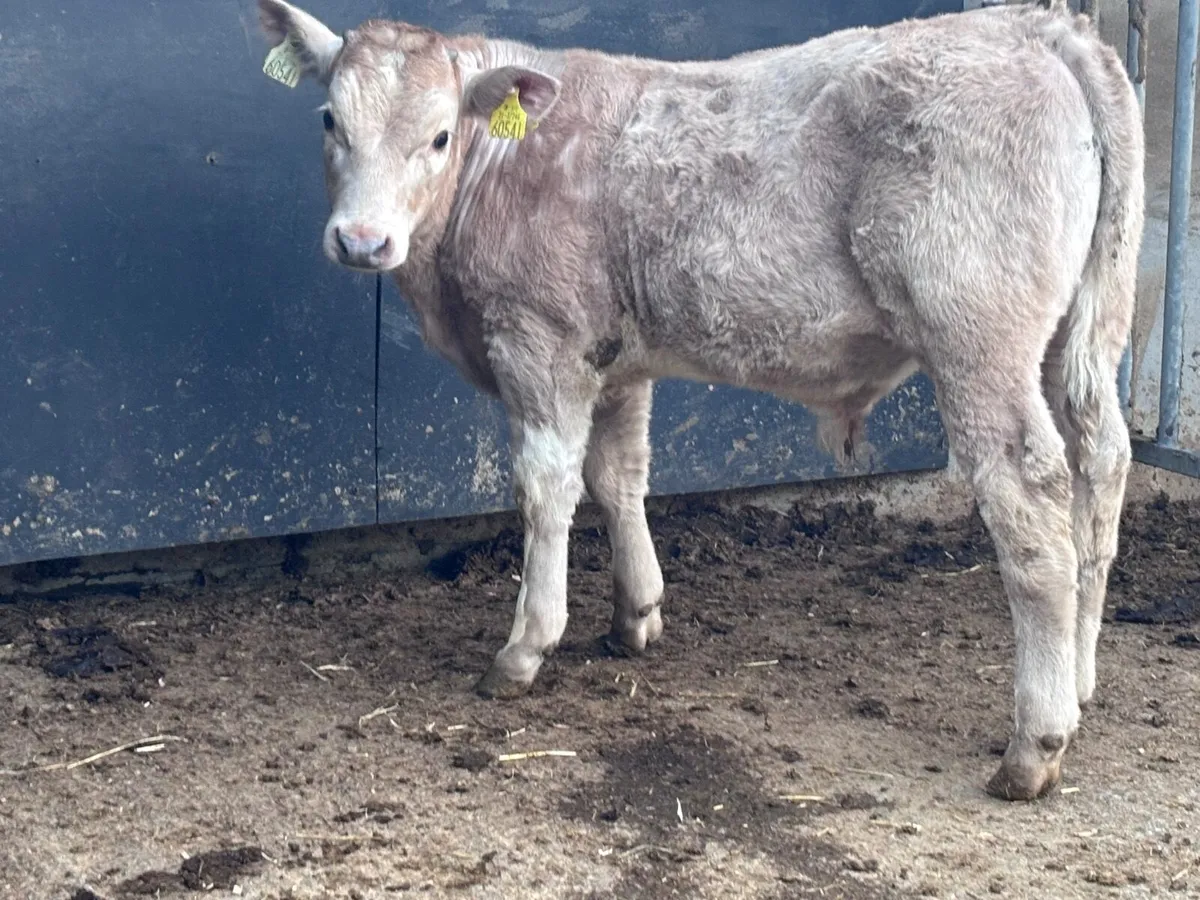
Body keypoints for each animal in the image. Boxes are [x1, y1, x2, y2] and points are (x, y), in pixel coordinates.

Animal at [256, 0, 1144, 801]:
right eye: (331, 119)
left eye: (439, 136)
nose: (362, 240)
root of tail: (1037, 26)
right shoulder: (618, 357)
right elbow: (620, 475)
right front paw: (636, 614)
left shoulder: (539, 342)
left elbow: (547, 487)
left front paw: (526, 647)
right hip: (1079, 335)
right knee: (1101, 465)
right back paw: (1080, 680)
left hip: (977, 336)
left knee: (1031, 493)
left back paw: (1035, 742)